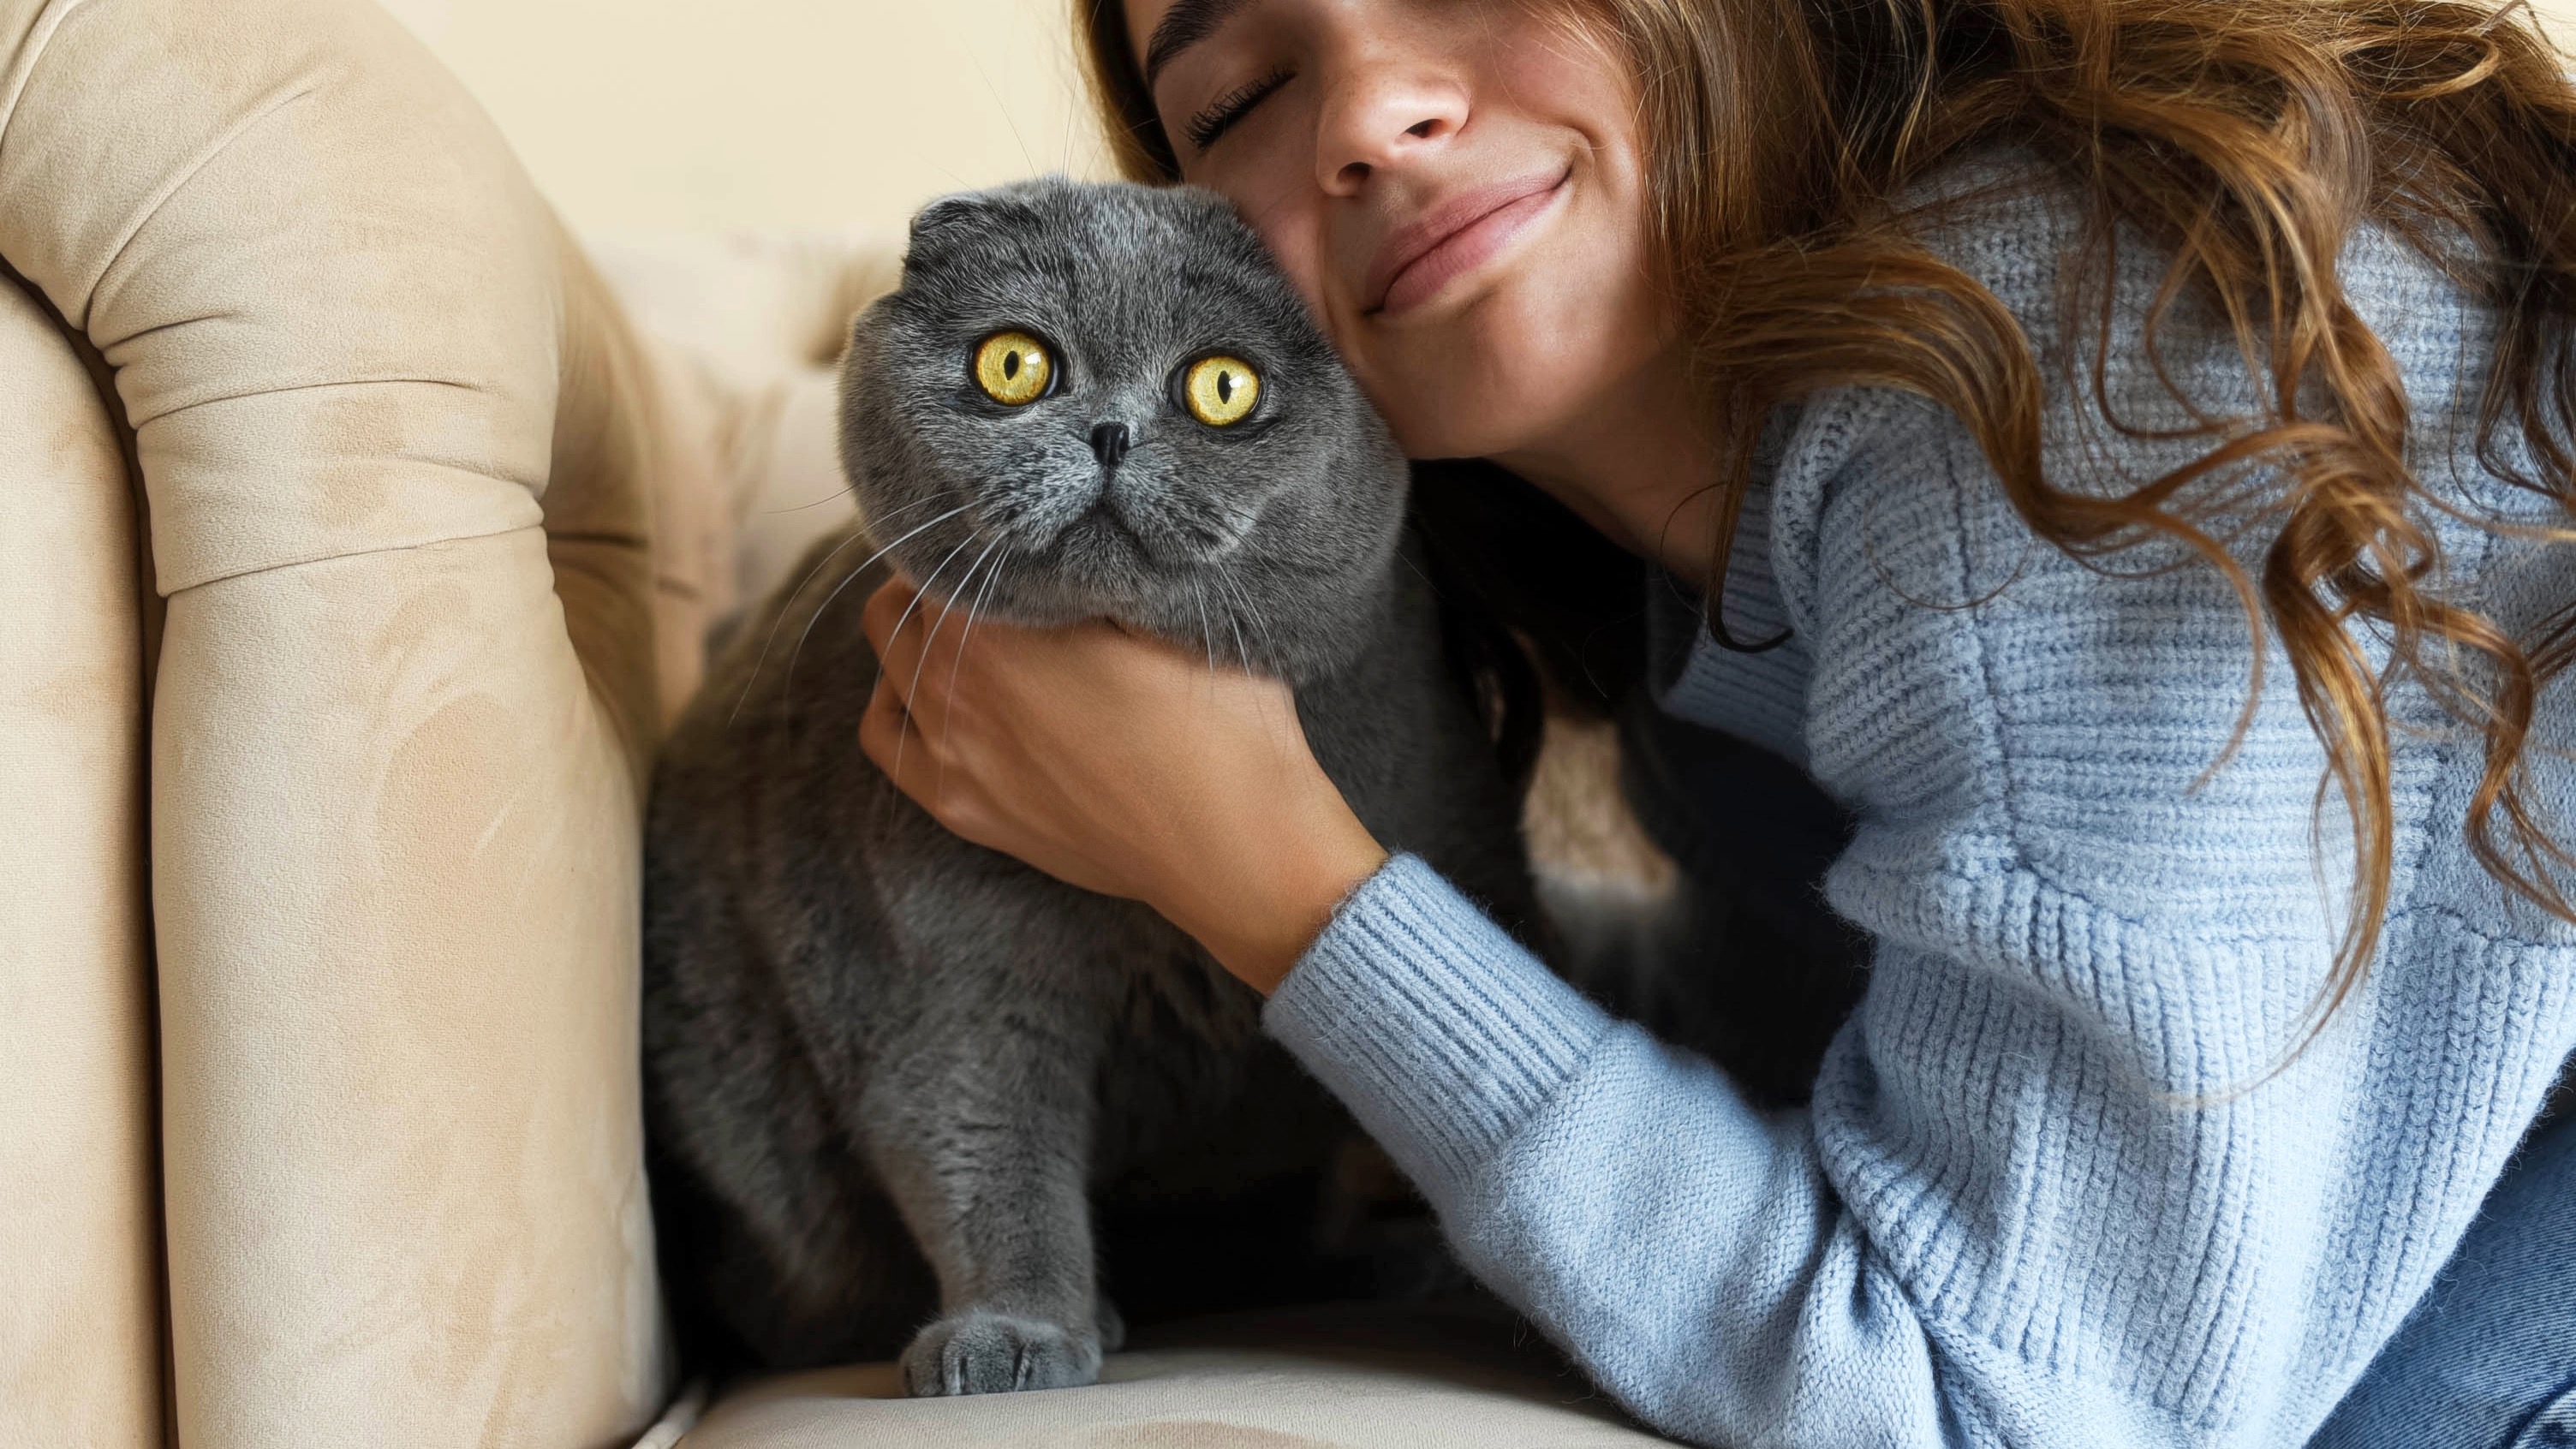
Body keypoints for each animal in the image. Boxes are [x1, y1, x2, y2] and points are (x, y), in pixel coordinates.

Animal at [638, 175, 1524, 1392]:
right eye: (1014, 365)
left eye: (1222, 386)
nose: (1106, 433)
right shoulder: (936, 973)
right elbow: (980, 1144)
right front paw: (1016, 1329)